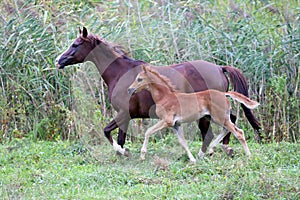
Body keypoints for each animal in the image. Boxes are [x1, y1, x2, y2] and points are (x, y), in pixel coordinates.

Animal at [127, 64, 258, 162]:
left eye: (139, 79)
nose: (129, 89)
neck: (165, 97)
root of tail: (224, 94)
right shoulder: (176, 124)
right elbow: (183, 142)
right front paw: (192, 159)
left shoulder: (167, 121)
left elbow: (148, 132)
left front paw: (142, 155)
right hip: (214, 118)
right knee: (227, 129)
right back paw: (209, 150)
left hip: (219, 118)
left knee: (239, 132)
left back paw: (249, 156)